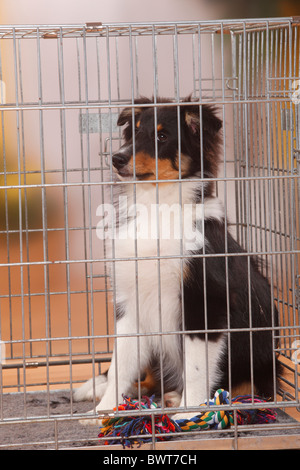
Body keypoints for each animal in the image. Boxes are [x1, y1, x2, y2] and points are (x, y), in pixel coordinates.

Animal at [73, 97, 282, 420]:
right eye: (134, 132)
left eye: (162, 137)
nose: (117, 159)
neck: (157, 206)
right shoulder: (130, 301)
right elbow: (121, 362)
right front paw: (105, 411)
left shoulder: (204, 302)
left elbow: (196, 367)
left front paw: (189, 414)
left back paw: (175, 398)